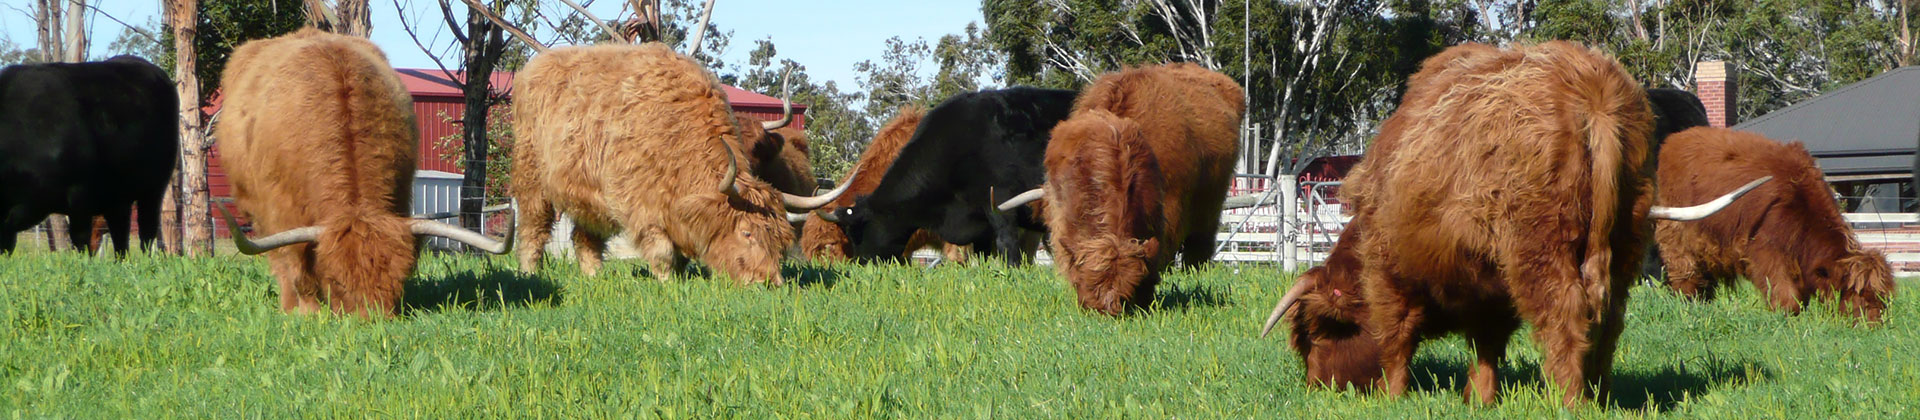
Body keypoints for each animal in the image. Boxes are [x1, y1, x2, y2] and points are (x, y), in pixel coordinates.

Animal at [0, 55, 177, 256]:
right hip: (118, 197)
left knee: (146, 231)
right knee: (120, 234)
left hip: (154, 188)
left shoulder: (80, 193)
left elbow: (80, 238)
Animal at [213, 29, 509, 317]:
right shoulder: (281, 212)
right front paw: (306, 312)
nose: (372, 319)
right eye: (336, 281)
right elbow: (295, 263)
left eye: (399, 278)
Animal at [510, 43, 852, 285]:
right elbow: (661, 251)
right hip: (531, 178)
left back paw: (595, 277)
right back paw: (530, 273)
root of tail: (534, 66)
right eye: (747, 233)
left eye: (780, 240)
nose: (769, 282)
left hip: (588, 195)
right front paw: (668, 284)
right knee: (533, 229)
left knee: (585, 238)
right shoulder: (640, 205)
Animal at [1257, 42, 1770, 405]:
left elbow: (1396, 339)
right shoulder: (1488, 284)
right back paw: (1597, 394)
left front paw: (1393, 397)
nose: (1318, 386)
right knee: (1607, 319)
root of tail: (1592, 98)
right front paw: (1478, 398)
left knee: (1566, 315)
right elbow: (1487, 343)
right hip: (1624, 242)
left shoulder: (1391, 274)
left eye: (1314, 334)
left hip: (1540, 249)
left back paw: (1568, 401)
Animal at [1655, 127, 1895, 322]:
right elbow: (1786, 299)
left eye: (1883, 296)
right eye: (1858, 292)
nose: (1873, 324)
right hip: (1677, 236)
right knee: (1685, 276)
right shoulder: (1766, 254)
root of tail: (1675, 139)